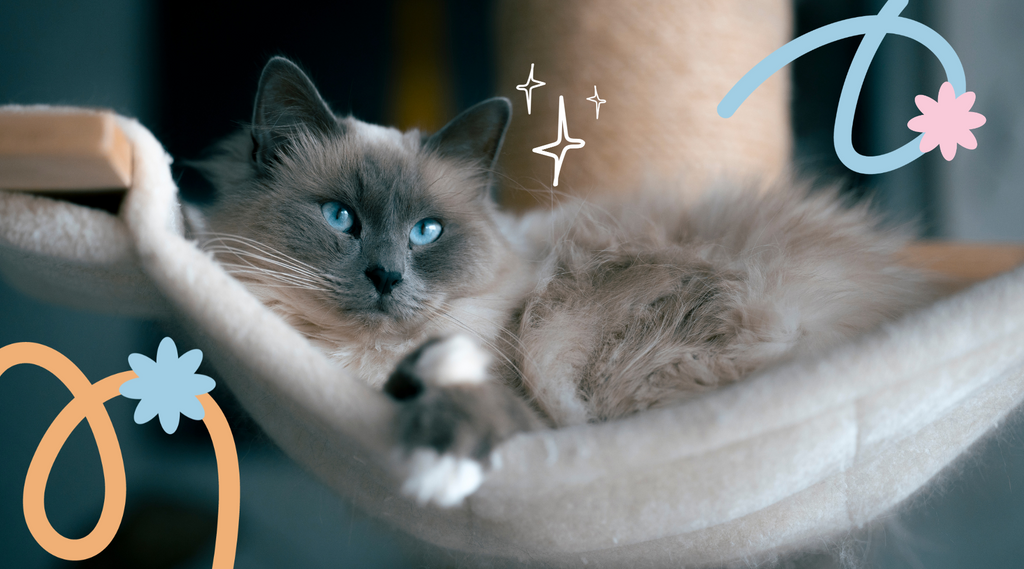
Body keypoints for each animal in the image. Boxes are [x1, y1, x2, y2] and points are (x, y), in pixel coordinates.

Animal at [190, 56, 937, 507]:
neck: (359, 365)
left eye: (426, 232)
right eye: (340, 217)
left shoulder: (516, 396)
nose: (386, 275)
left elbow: (454, 394)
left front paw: (438, 469)